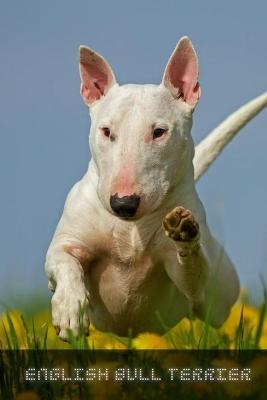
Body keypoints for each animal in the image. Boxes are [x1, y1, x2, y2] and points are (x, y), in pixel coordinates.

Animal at [45, 36, 267, 340]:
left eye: (159, 132)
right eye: (106, 131)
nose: (123, 204)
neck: (130, 230)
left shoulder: (186, 277)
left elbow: (193, 276)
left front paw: (184, 233)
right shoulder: (67, 243)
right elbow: (64, 261)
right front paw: (69, 310)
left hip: (222, 295)